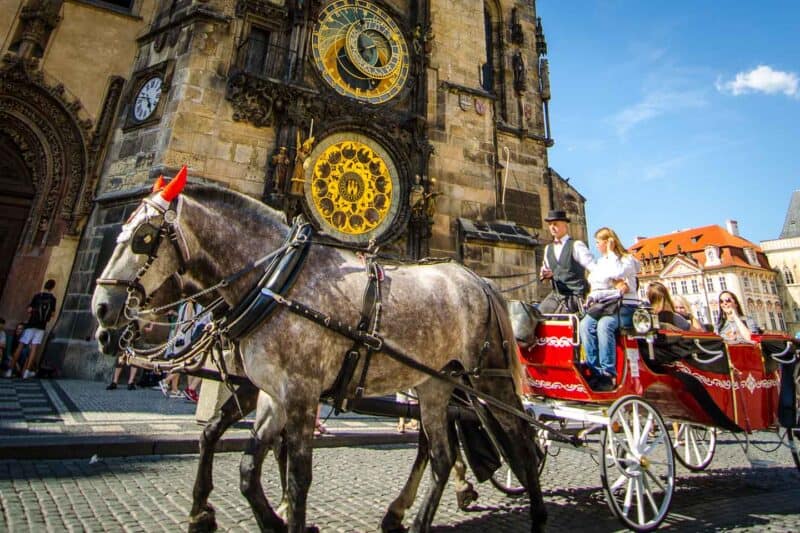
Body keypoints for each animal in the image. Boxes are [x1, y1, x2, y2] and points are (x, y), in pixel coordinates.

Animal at [92, 171, 544, 532]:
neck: (275, 280)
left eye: (143, 237)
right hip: (435, 384)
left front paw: (280, 514)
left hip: (489, 377)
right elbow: (244, 464)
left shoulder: (300, 391)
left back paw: (534, 512)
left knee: (521, 436)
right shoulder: (272, 393)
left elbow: (297, 476)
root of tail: (480, 281)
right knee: (440, 453)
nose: (101, 310)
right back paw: (408, 517)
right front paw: (250, 516)